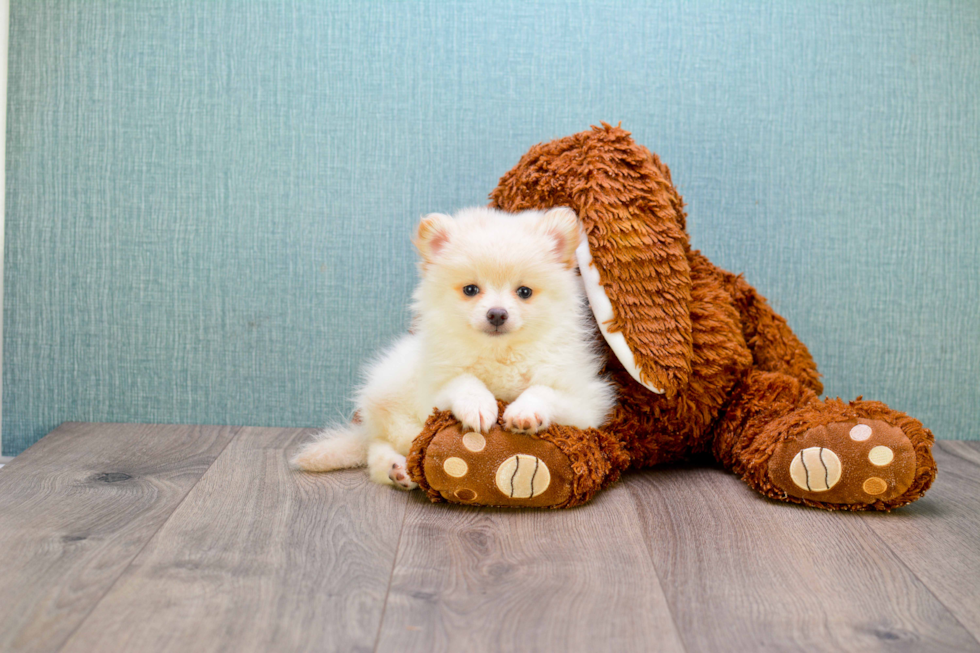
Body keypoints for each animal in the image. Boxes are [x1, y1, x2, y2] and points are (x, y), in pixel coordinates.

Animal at [290, 206, 612, 486]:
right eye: (471, 289)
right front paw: (478, 407)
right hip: (394, 398)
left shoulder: (587, 402)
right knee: (380, 444)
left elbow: (543, 390)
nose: (497, 314)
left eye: (524, 292)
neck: (500, 353)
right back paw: (397, 469)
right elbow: (464, 381)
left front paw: (525, 412)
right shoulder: (432, 389)